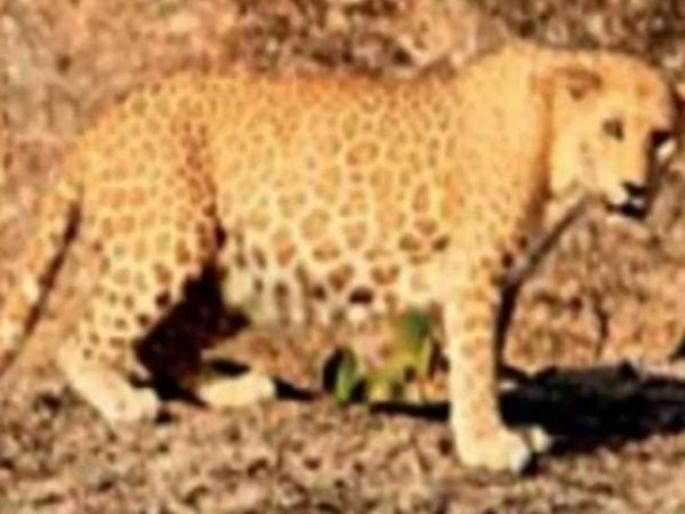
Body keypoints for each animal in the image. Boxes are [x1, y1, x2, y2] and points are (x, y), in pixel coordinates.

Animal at [0, 41, 678, 472]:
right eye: (613, 128)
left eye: (662, 138)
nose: (637, 190)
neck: (558, 160)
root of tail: (99, 124)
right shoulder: (475, 275)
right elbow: (474, 366)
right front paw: (488, 444)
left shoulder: (505, 282)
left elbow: (485, 362)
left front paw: (510, 427)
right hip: (168, 241)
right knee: (84, 339)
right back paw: (122, 402)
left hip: (238, 276)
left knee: (160, 343)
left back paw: (231, 389)